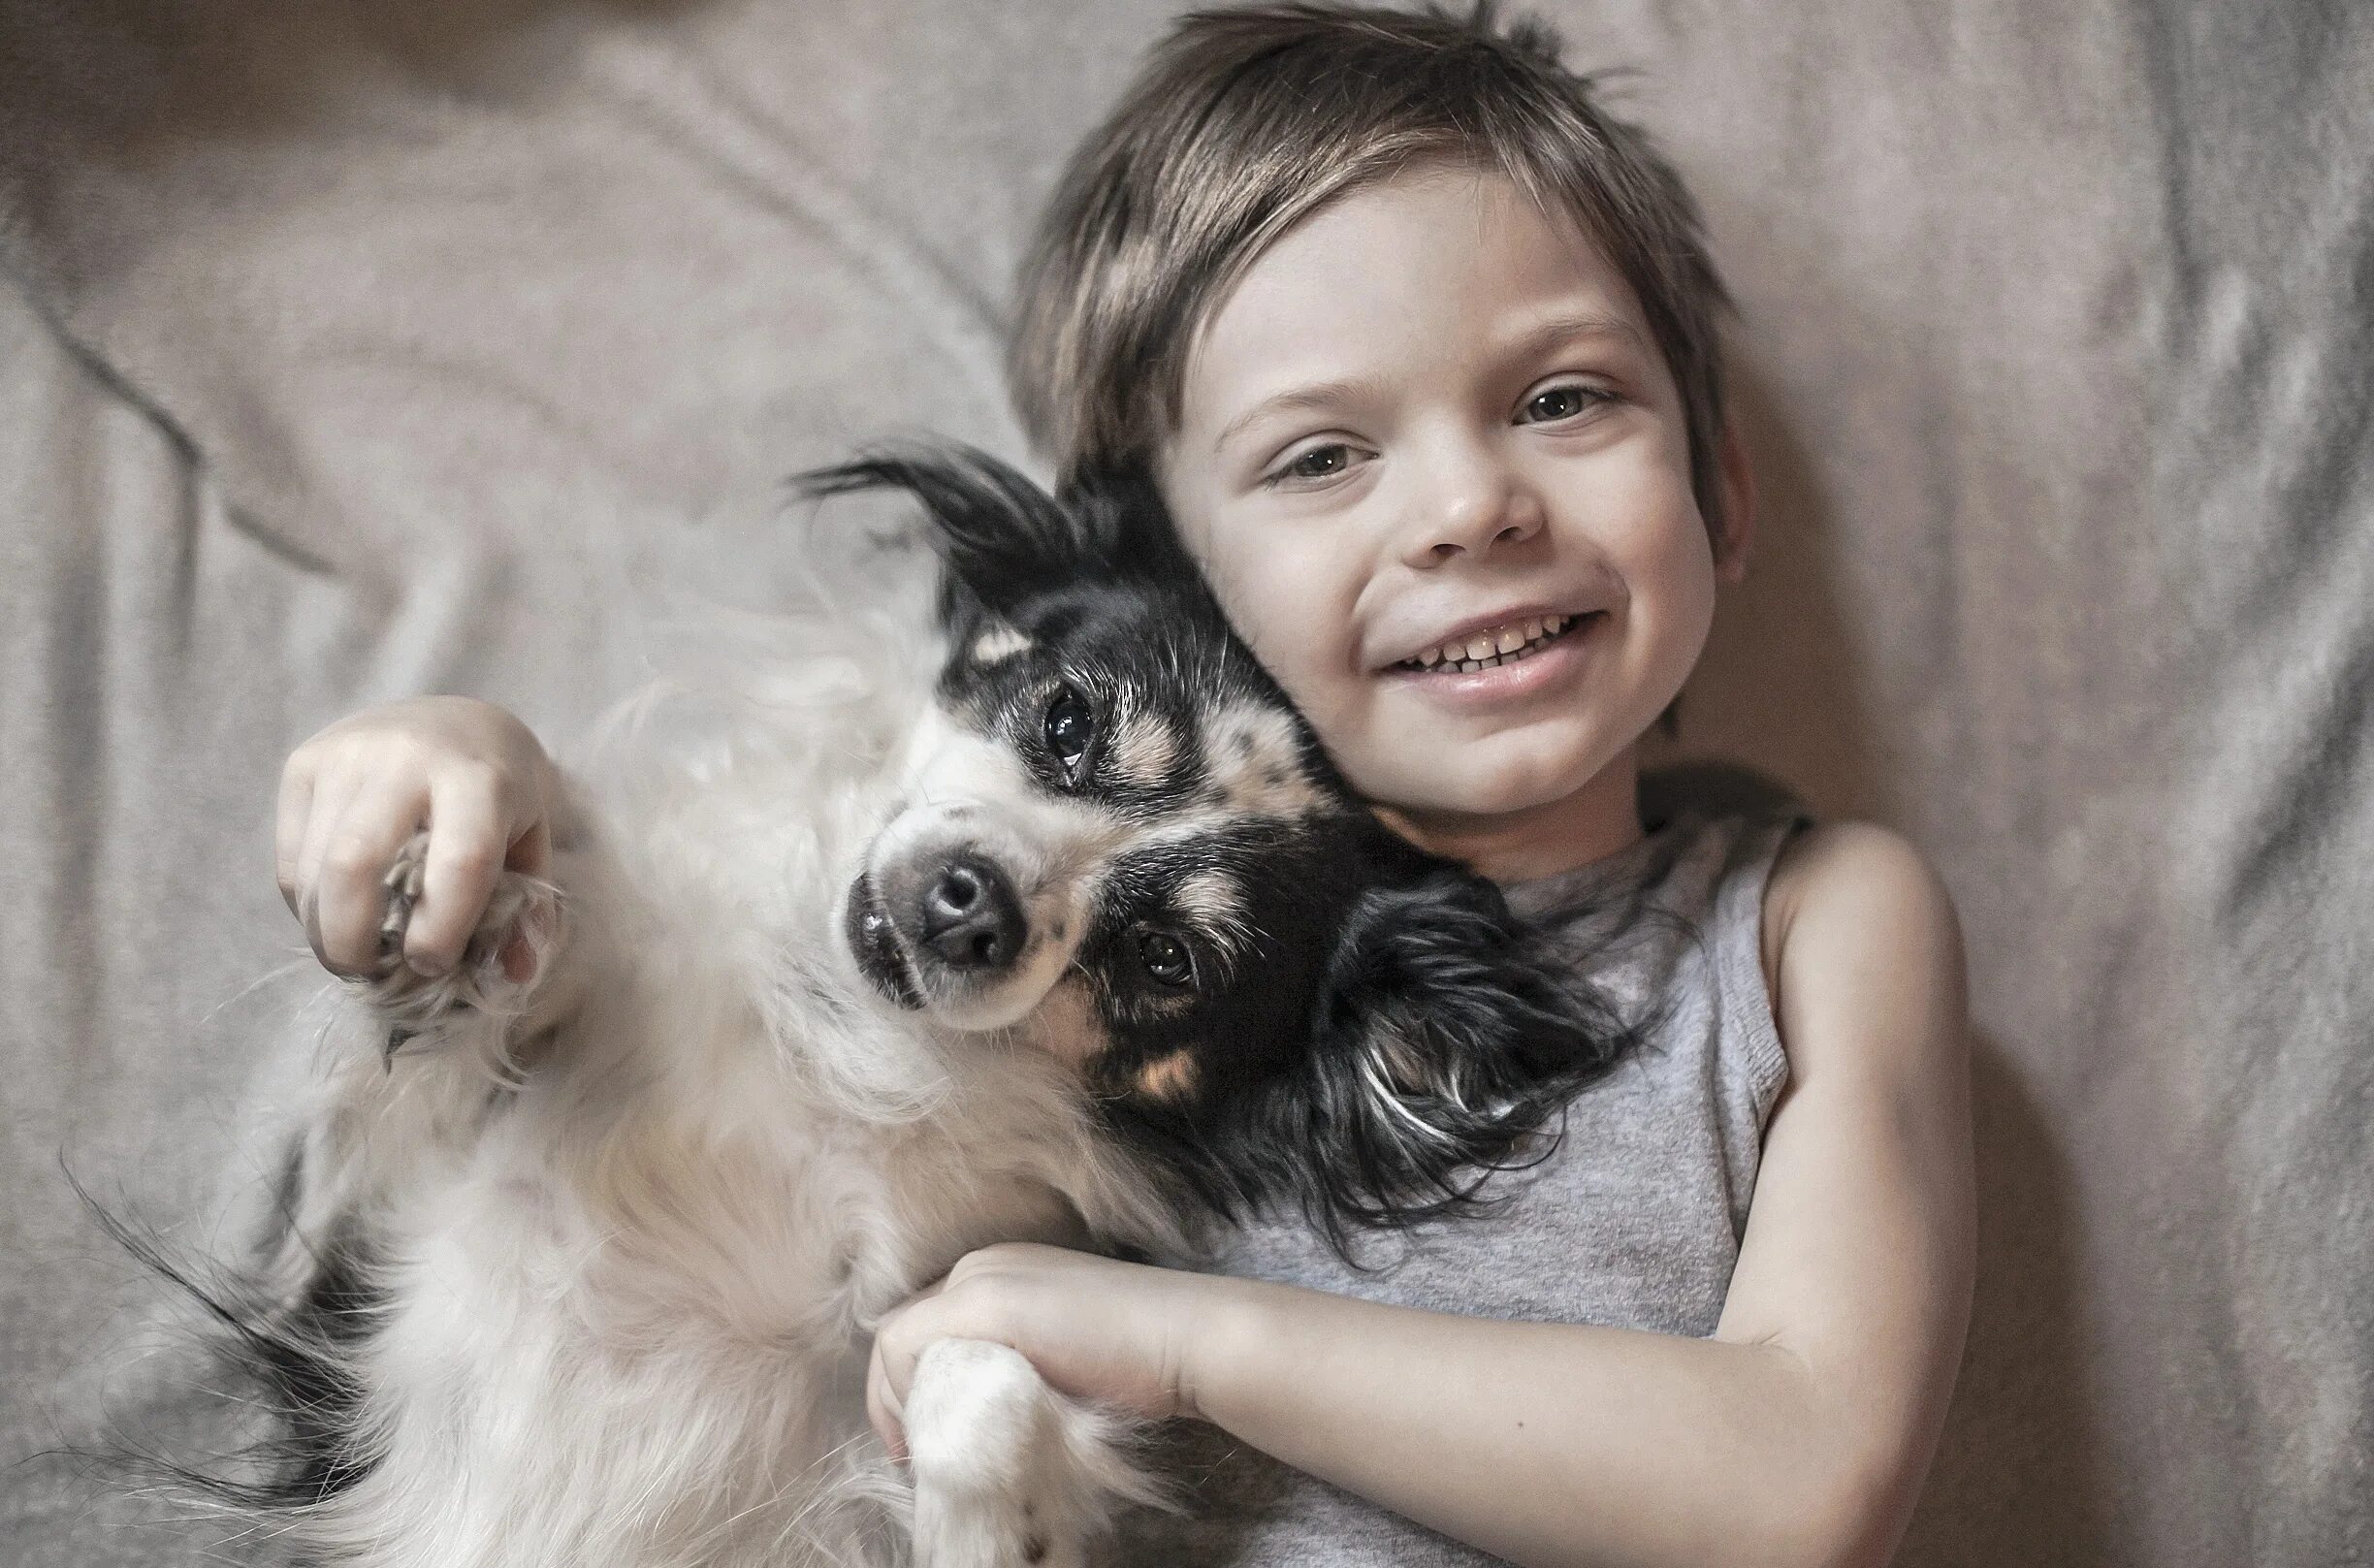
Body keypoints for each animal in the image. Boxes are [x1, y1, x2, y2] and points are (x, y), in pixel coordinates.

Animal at [180, 445, 1633, 1555]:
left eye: (1167, 964)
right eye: (1065, 721)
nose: (971, 906)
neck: (837, 1040)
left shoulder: (925, 1348)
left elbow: (983, 1382)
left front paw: (991, 1528)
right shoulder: (414, 1194)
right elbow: (526, 912)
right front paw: (458, 872)